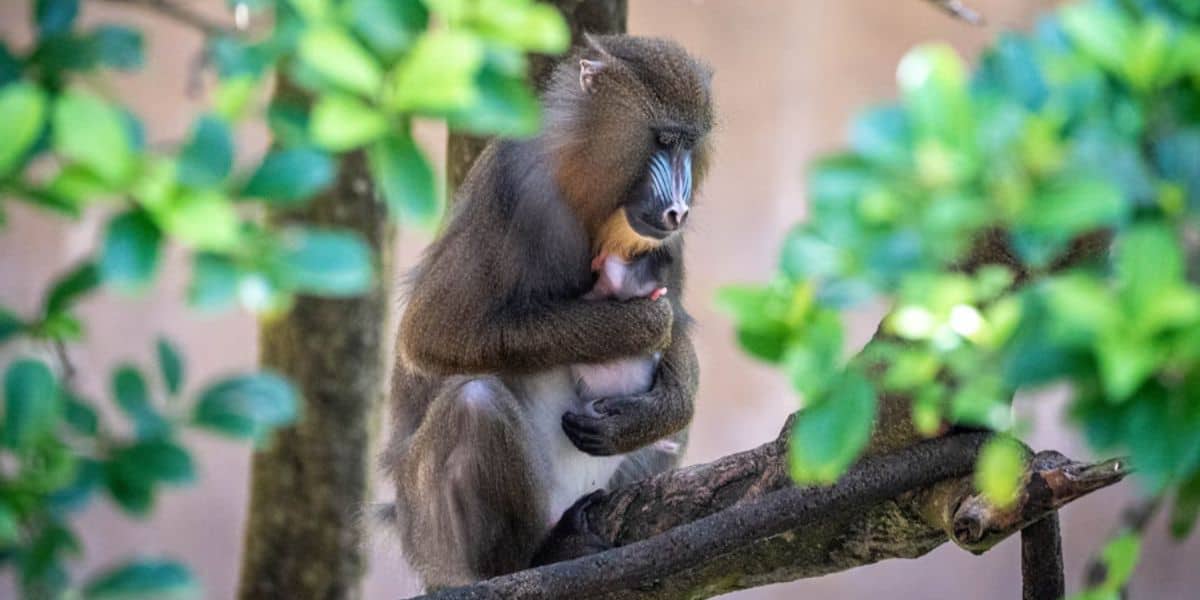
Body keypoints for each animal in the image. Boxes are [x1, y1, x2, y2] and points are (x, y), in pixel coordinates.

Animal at [384, 34, 713, 589]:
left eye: (689, 145)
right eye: (664, 141)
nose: (678, 210)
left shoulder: (664, 245)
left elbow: (680, 325)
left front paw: (656, 410)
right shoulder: (512, 187)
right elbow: (433, 335)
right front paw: (640, 325)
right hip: (435, 533)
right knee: (475, 402)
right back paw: (534, 557)